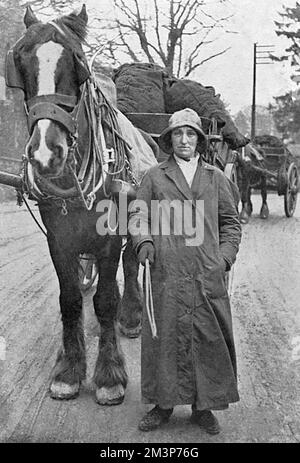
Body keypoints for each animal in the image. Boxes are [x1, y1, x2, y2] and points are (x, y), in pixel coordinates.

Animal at [5, 3, 157, 404]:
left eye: (78, 64)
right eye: (20, 61)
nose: (46, 153)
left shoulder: (109, 235)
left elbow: (103, 301)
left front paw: (109, 375)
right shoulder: (58, 238)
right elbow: (71, 299)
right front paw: (69, 370)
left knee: (131, 263)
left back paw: (131, 315)